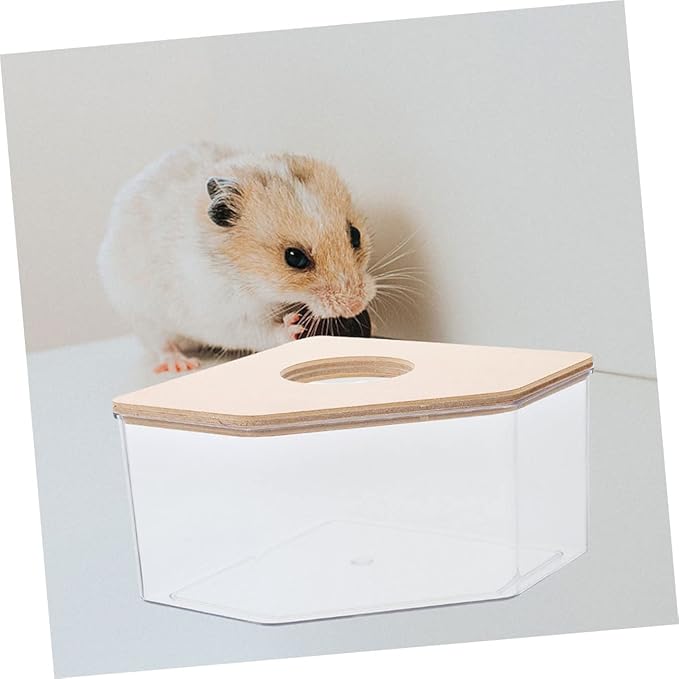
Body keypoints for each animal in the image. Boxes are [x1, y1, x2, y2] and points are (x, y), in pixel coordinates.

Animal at [98, 143, 376, 372]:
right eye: (294, 257)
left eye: (355, 235)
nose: (355, 306)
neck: (250, 277)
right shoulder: (224, 315)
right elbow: (259, 331)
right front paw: (293, 327)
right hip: (142, 316)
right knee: (161, 344)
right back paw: (182, 364)